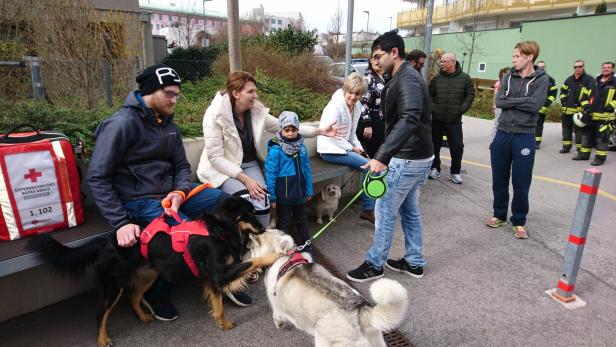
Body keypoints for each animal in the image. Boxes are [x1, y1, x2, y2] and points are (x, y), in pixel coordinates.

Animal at [26, 197, 282, 347]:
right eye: (248, 214)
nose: (263, 229)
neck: (218, 230)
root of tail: (107, 240)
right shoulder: (218, 274)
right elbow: (254, 260)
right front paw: (276, 256)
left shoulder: (210, 278)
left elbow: (218, 305)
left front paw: (223, 324)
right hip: (114, 284)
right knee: (101, 314)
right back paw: (102, 339)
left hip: (149, 274)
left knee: (133, 297)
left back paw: (143, 316)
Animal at [250, 230, 410, 346]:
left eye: (250, 248)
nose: (249, 261)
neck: (284, 256)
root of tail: (359, 310)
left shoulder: (276, 307)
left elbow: (276, 316)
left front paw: (279, 324)